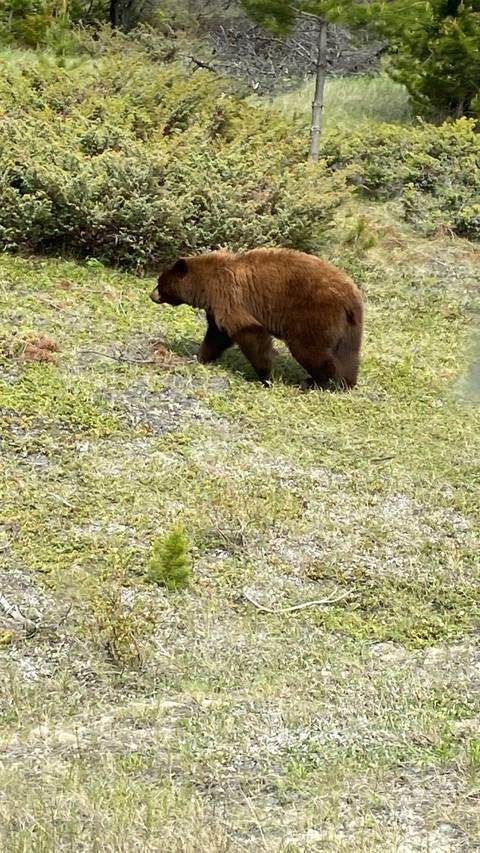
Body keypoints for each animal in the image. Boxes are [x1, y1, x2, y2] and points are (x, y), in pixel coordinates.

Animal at [150, 248, 363, 388]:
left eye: (160, 282)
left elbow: (249, 332)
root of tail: (350, 297)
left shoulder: (228, 296)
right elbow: (217, 335)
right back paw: (346, 382)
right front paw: (201, 357)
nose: (152, 295)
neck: (205, 285)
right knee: (348, 354)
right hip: (349, 327)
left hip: (313, 316)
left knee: (310, 351)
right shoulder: (218, 306)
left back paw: (317, 381)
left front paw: (265, 376)